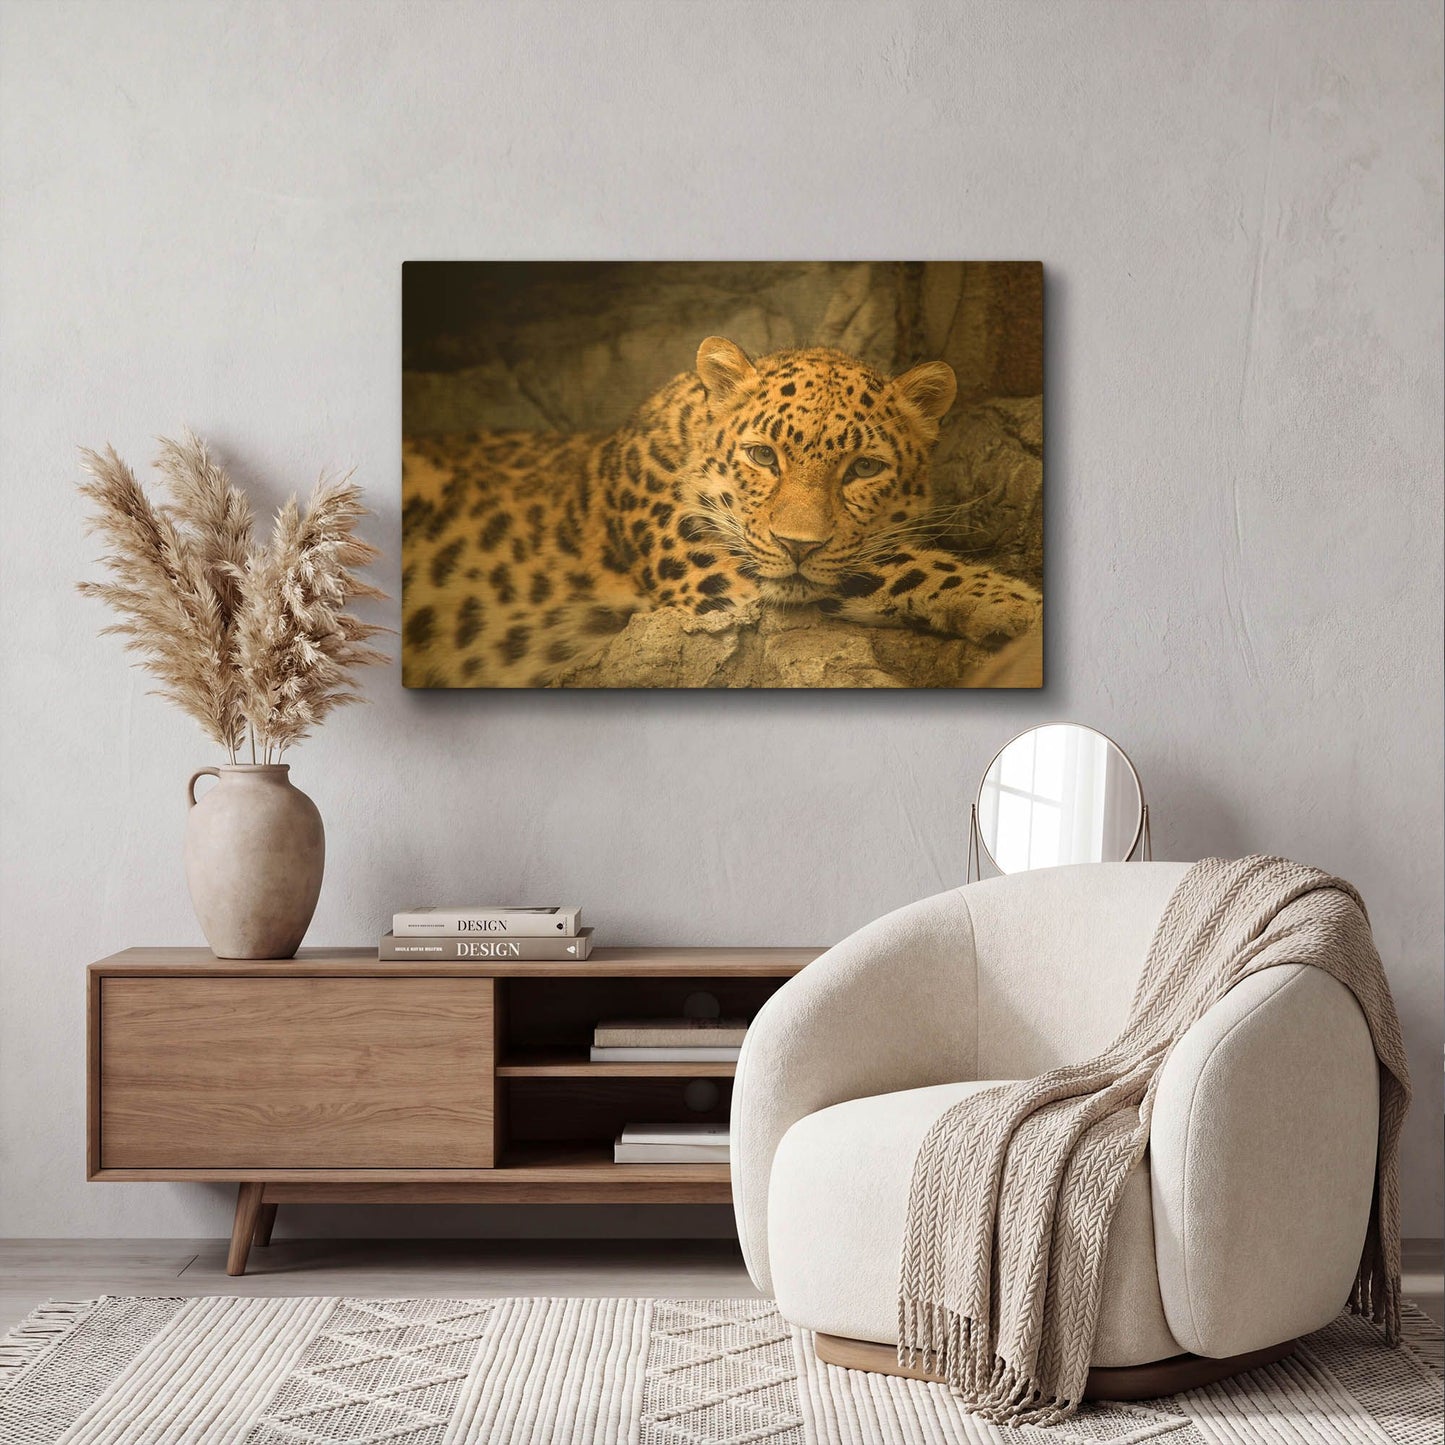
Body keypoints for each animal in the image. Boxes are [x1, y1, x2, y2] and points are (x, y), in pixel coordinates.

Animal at [402, 336, 1042, 687]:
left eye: (863, 468)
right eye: (763, 456)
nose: (798, 545)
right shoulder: (723, 580)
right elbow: (906, 565)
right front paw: (1020, 606)